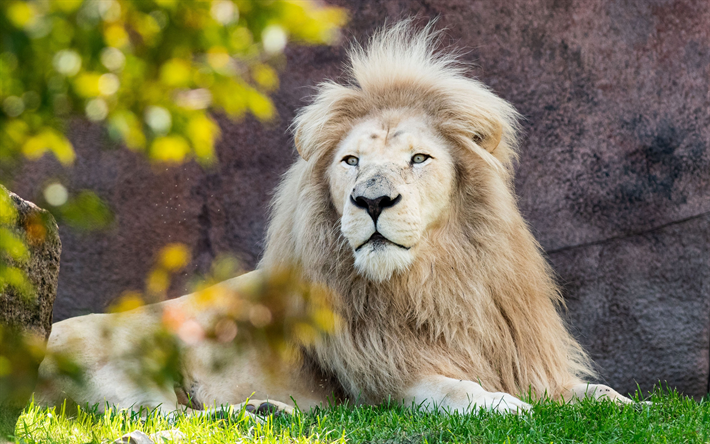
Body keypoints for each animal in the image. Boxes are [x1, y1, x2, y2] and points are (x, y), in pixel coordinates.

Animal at [37, 21, 636, 416]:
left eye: (419, 158)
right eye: (351, 162)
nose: (372, 201)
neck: (437, 283)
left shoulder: (522, 360)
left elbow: (596, 394)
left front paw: (629, 403)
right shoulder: (381, 383)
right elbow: (452, 389)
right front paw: (505, 406)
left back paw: (266, 411)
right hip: (124, 372)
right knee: (164, 419)